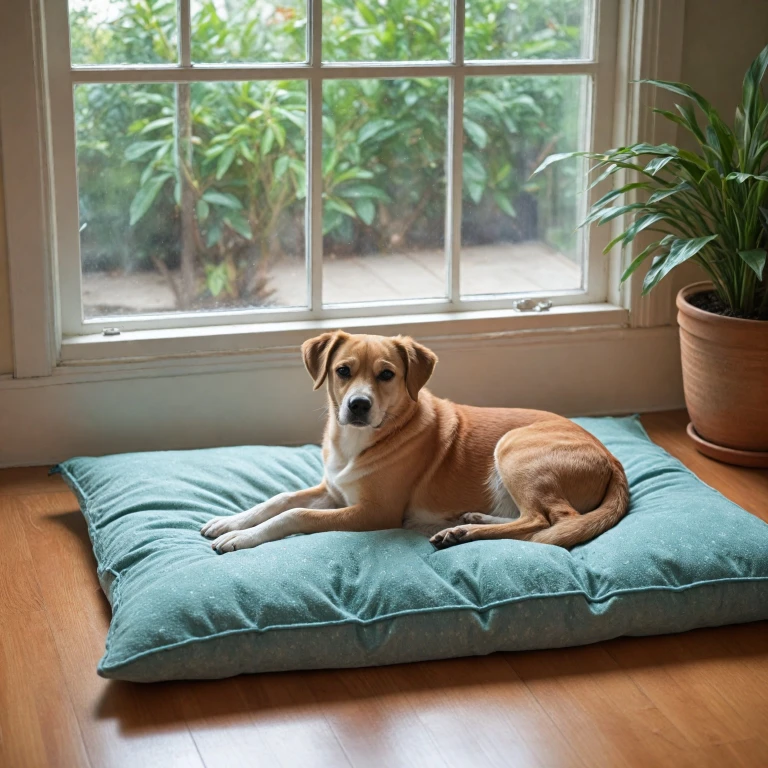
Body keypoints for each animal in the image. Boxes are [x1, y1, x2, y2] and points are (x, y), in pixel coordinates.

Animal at [201, 330, 628, 552]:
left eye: (387, 375)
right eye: (343, 371)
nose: (358, 405)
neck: (358, 440)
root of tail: (613, 460)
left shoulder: (373, 513)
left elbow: (295, 515)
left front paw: (242, 537)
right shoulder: (334, 491)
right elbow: (280, 499)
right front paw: (231, 521)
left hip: (512, 448)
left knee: (549, 521)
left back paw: (465, 533)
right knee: (526, 518)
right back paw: (469, 523)